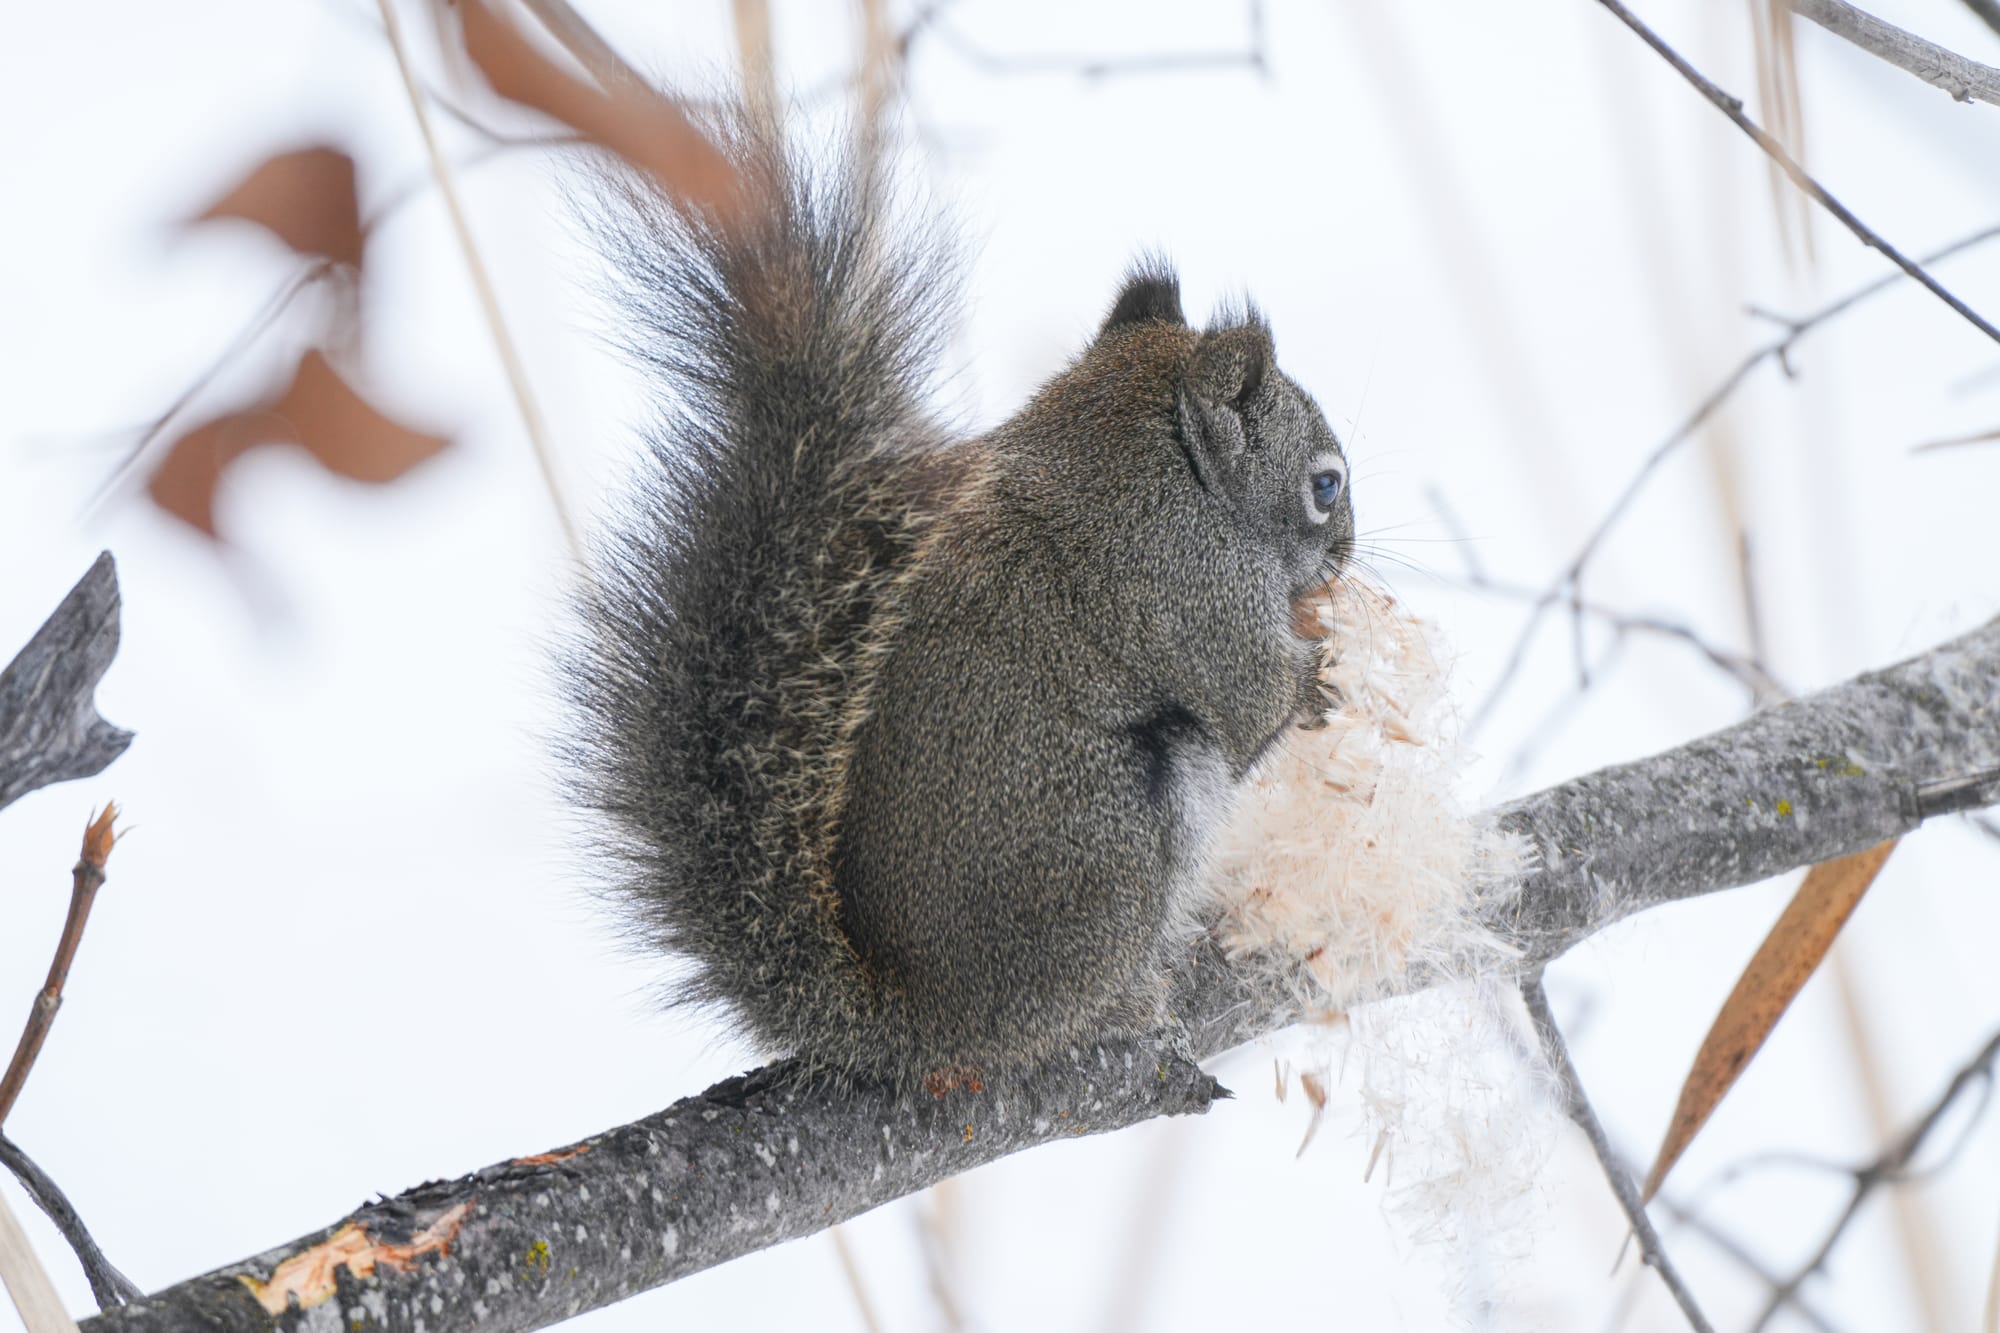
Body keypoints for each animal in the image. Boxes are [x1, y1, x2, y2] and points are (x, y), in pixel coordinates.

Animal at [568, 120, 1356, 1093]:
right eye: (1325, 485)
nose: (1348, 553)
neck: (1154, 460)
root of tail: (919, 1024)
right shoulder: (1199, 597)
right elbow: (1252, 704)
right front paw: (1324, 679)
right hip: (1111, 847)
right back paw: (1121, 1003)